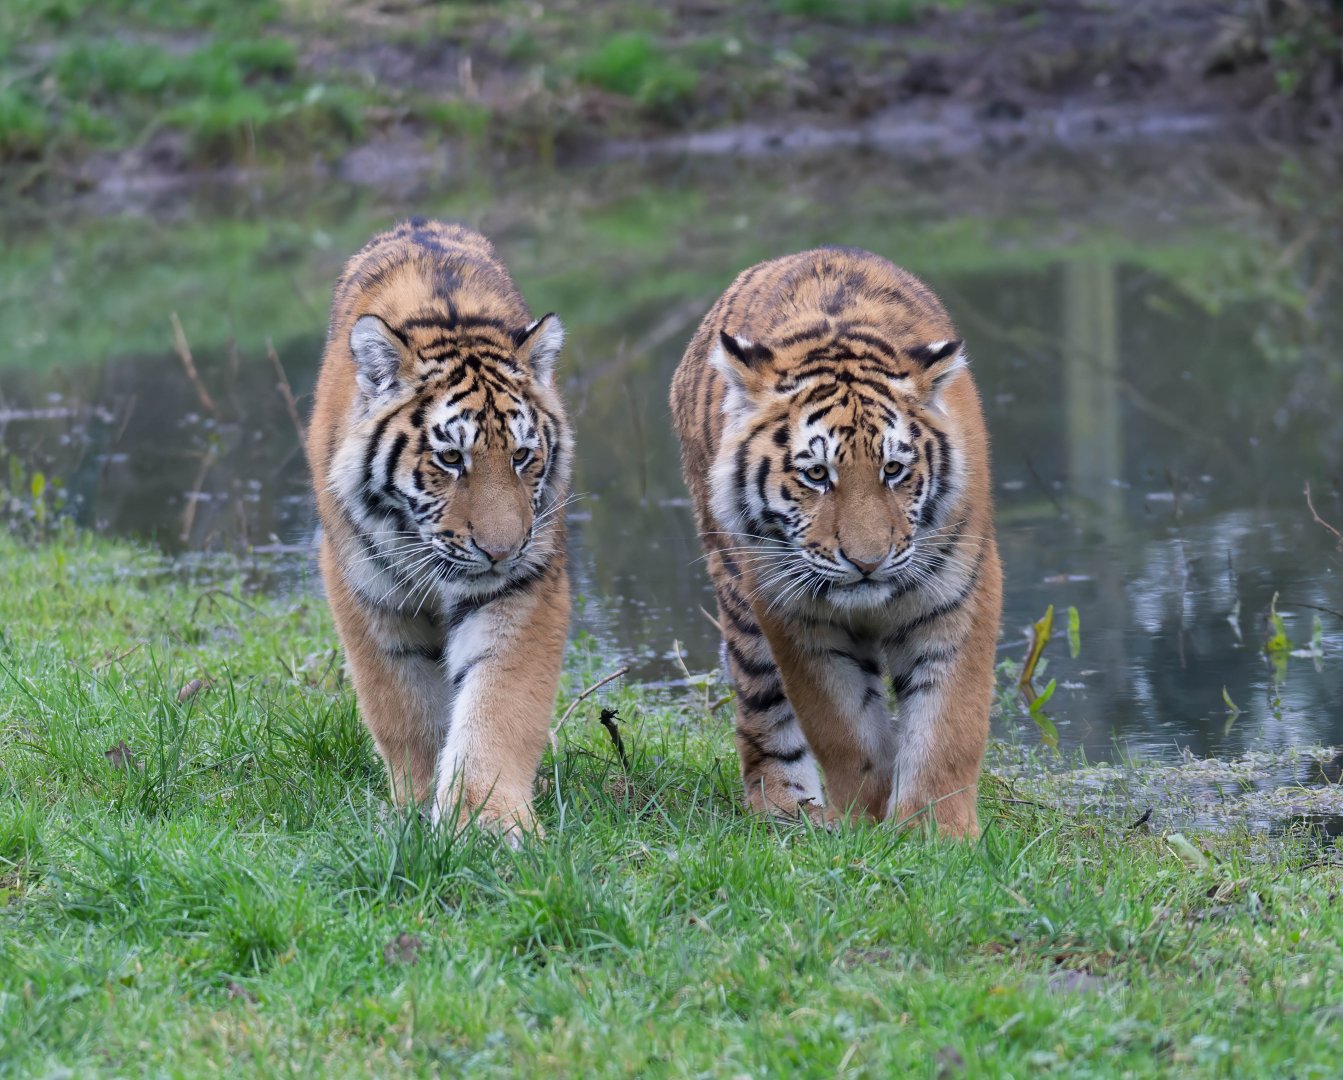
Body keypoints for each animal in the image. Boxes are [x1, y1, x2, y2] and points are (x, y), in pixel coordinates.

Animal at [308, 218, 573, 838]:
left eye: (522, 456)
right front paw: (419, 803)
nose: (500, 550)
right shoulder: (365, 590)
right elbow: (402, 706)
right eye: (451, 459)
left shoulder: (526, 585)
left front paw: (486, 822)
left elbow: (498, 703)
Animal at [670, 246, 1002, 837]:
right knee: (763, 712)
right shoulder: (797, 615)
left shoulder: (959, 597)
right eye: (817, 474)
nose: (867, 563)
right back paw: (787, 811)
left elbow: (947, 730)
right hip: (738, 592)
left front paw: (935, 834)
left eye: (894, 470)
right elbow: (845, 730)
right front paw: (866, 821)